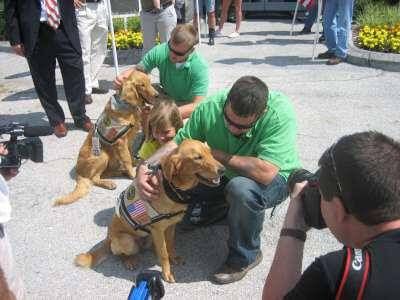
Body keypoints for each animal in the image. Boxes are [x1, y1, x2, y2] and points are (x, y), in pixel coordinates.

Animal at [52, 71, 158, 205]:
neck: (127, 105)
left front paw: (134, 164)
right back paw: (109, 182)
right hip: (102, 155)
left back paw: (119, 172)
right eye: (142, 85)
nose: (157, 95)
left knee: (104, 173)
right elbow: (127, 159)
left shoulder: (127, 141)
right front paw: (133, 174)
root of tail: (79, 173)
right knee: (94, 178)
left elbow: (129, 154)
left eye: (149, 82)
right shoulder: (120, 142)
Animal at [74, 139, 225, 282]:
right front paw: (166, 273)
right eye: (197, 158)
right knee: (120, 254)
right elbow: (164, 254)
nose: (222, 170)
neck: (171, 187)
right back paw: (129, 261)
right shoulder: (157, 229)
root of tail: (108, 238)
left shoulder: (170, 226)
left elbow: (169, 246)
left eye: (210, 153)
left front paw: (173, 257)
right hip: (127, 240)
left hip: (150, 236)